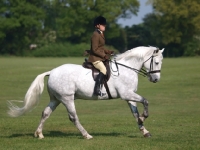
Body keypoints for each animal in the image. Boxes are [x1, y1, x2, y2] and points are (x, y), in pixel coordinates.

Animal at [7, 46, 164, 139]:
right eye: (156, 63)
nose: (156, 79)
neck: (126, 68)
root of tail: (51, 72)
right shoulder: (126, 94)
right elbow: (145, 101)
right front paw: (144, 117)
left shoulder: (129, 96)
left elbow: (135, 113)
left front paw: (144, 129)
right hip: (67, 99)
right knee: (73, 117)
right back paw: (86, 135)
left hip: (56, 99)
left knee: (45, 113)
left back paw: (39, 134)